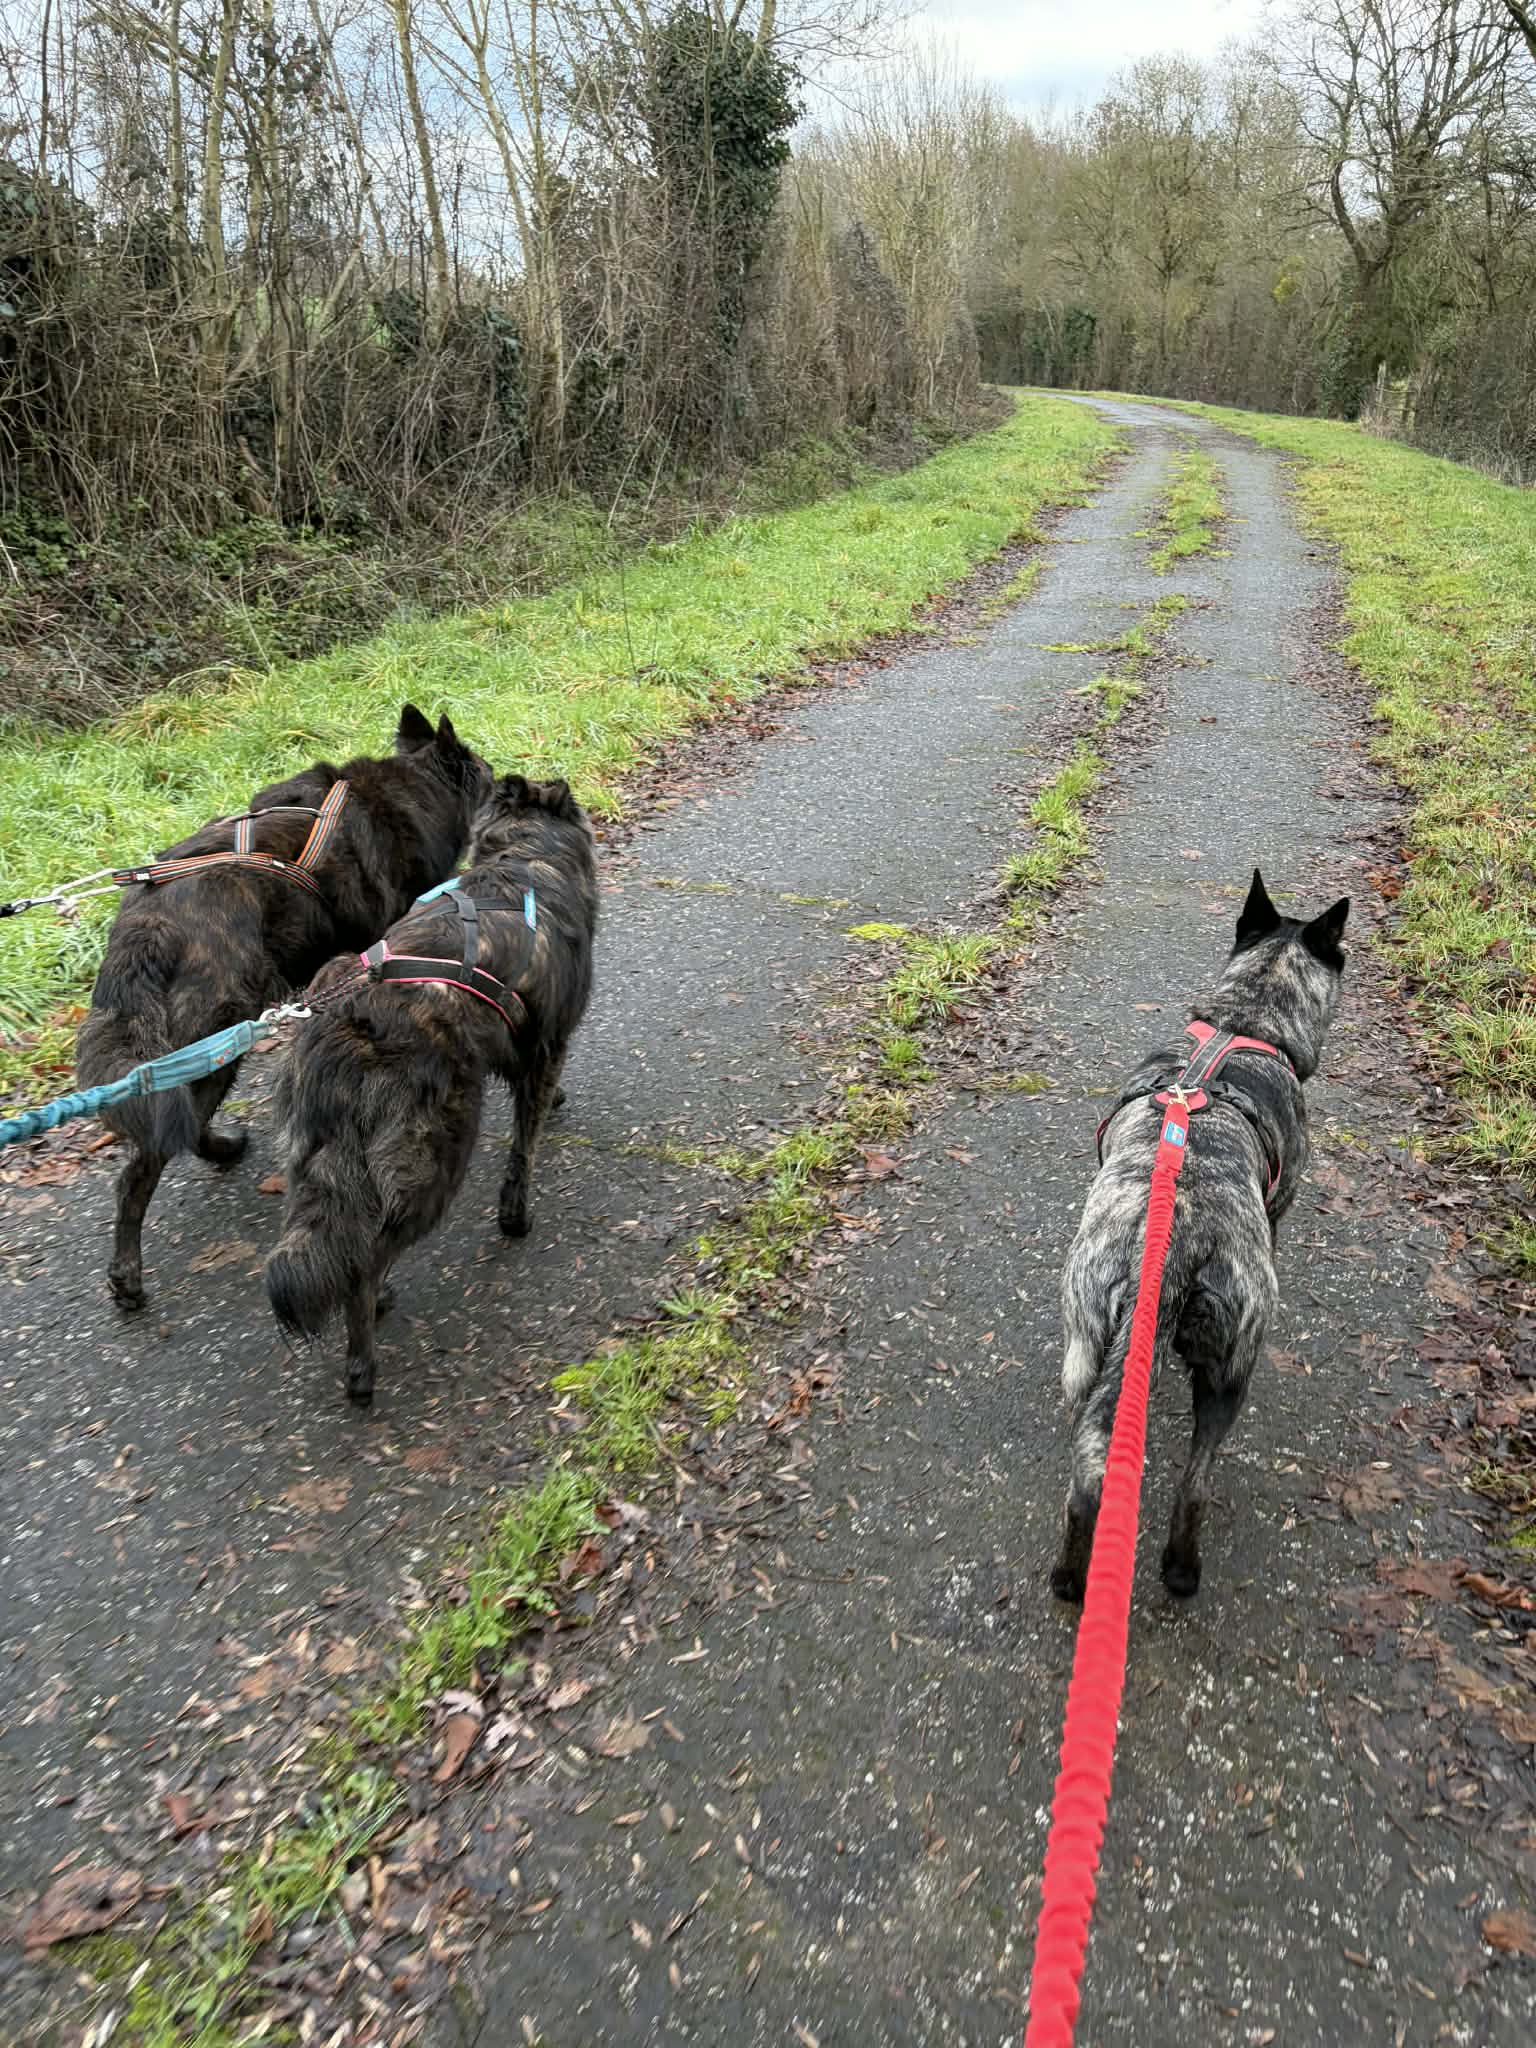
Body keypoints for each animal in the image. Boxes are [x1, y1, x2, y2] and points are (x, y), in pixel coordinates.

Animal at [76, 706, 491, 1308]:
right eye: (486, 772)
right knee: (140, 1170)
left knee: (174, 1119)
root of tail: (150, 924)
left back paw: (219, 1149)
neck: (414, 786)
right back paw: (127, 1274)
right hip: (218, 1034)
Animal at [264, 773, 598, 1403]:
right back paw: (362, 1363)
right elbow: (523, 1149)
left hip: (316, 1163)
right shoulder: (548, 1044)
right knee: (367, 1262)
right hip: (435, 1160)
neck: (525, 858)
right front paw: (515, 1219)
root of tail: (348, 1022)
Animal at [1052, 871, 1349, 1602]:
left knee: (1107, 1478)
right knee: (1187, 1485)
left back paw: (1092, 1576)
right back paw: (1167, 1572)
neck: (1243, 1023)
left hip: (1096, 1349)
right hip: (1215, 1367)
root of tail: (1174, 1250)